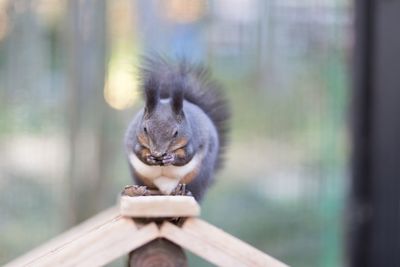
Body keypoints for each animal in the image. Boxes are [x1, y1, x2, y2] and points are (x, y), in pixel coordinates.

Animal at [125, 57, 231, 203]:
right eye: (145, 129)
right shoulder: (136, 139)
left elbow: (187, 155)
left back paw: (183, 191)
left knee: (193, 192)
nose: (157, 153)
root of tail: (166, 190)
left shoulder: (193, 140)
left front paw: (171, 158)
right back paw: (140, 191)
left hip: (198, 176)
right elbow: (138, 150)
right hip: (140, 177)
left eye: (176, 133)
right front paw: (149, 158)